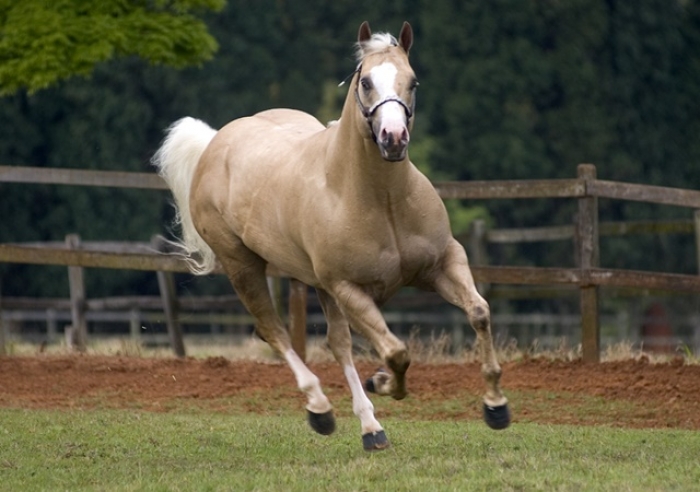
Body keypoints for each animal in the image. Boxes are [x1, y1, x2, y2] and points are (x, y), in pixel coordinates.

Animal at [152, 20, 508, 450]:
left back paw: (372, 429)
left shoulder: (443, 264)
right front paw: (383, 382)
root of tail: (216, 142)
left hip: (315, 283)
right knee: (276, 331)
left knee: (333, 344)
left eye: (413, 81)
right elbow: (396, 352)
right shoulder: (348, 288)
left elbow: (479, 313)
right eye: (366, 81)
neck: (382, 200)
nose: (393, 138)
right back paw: (321, 409)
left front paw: (495, 406)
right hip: (244, 266)